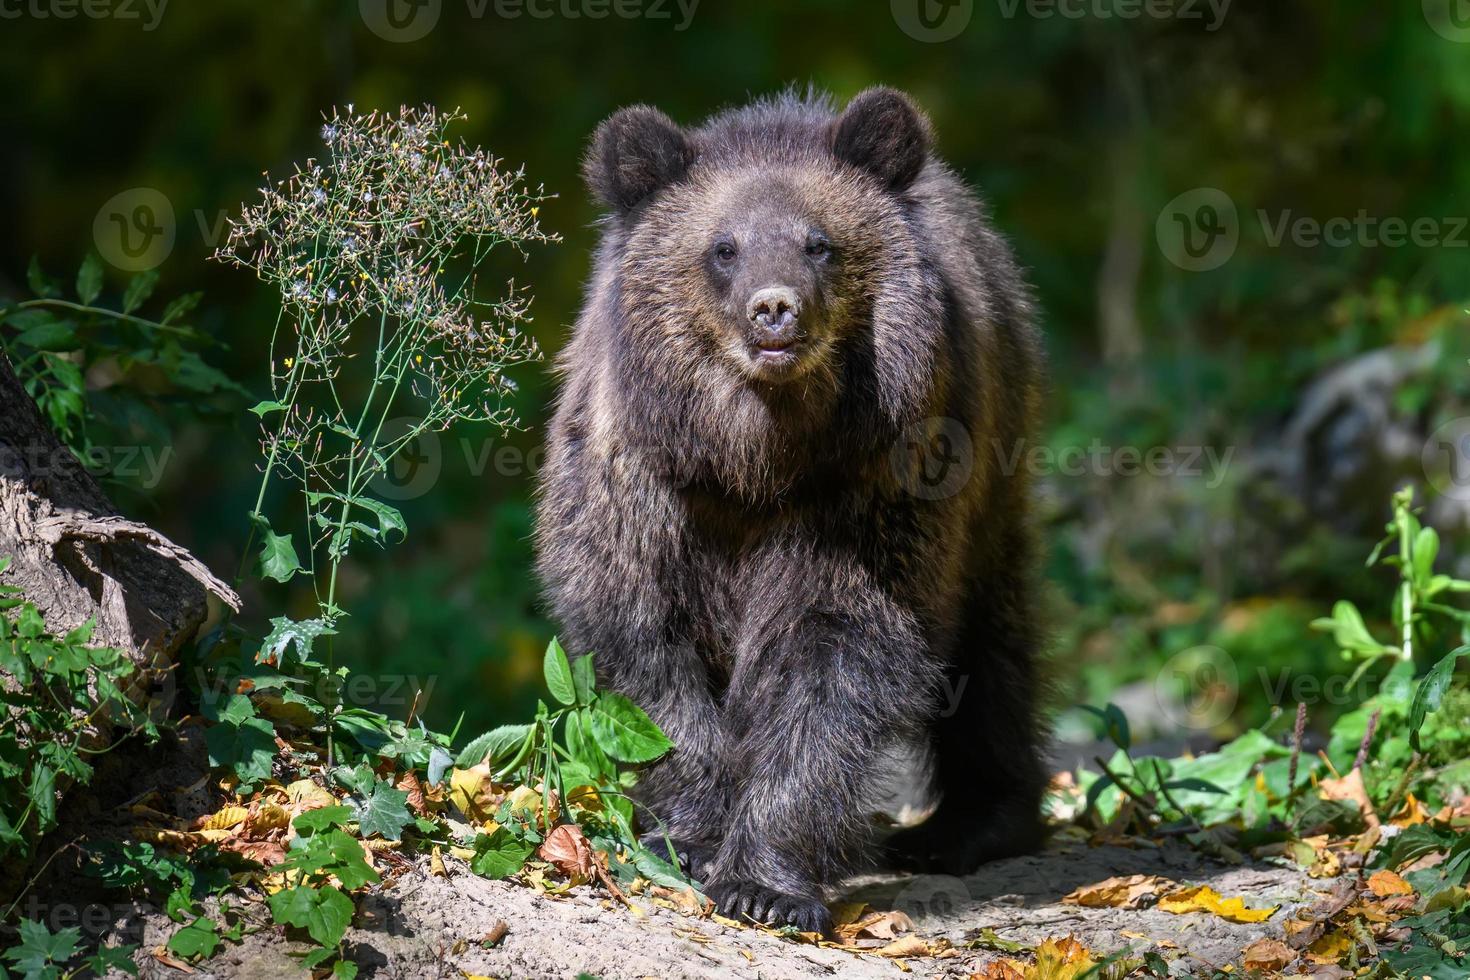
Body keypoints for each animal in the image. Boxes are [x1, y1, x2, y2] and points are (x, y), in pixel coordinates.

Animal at [535, 86, 1052, 934]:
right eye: (724, 247)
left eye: (819, 243)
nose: (775, 309)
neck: (756, 457)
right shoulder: (643, 481)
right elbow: (646, 644)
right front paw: (693, 834)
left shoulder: (871, 486)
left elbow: (833, 650)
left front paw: (765, 882)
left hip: (991, 474)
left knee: (992, 649)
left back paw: (971, 822)